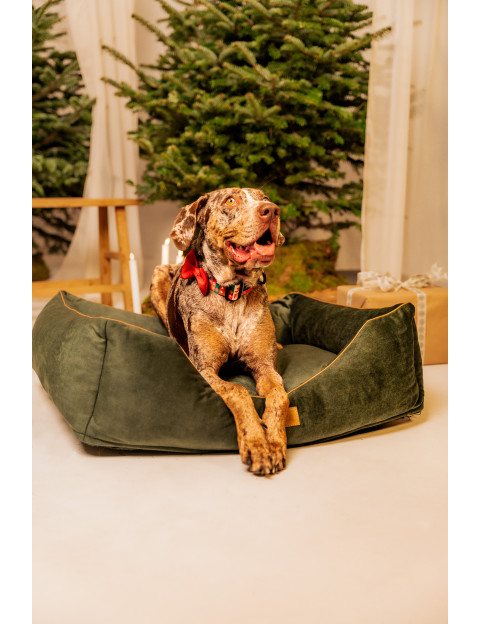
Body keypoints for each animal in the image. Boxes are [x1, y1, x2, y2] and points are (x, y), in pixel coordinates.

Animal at [150, 188, 289, 475]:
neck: (233, 294)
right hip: (158, 275)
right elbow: (239, 392)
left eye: (264, 197)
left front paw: (273, 440)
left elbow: (279, 396)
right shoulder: (205, 369)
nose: (271, 210)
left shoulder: (265, 367)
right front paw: (256, 444)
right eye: (230, 201)